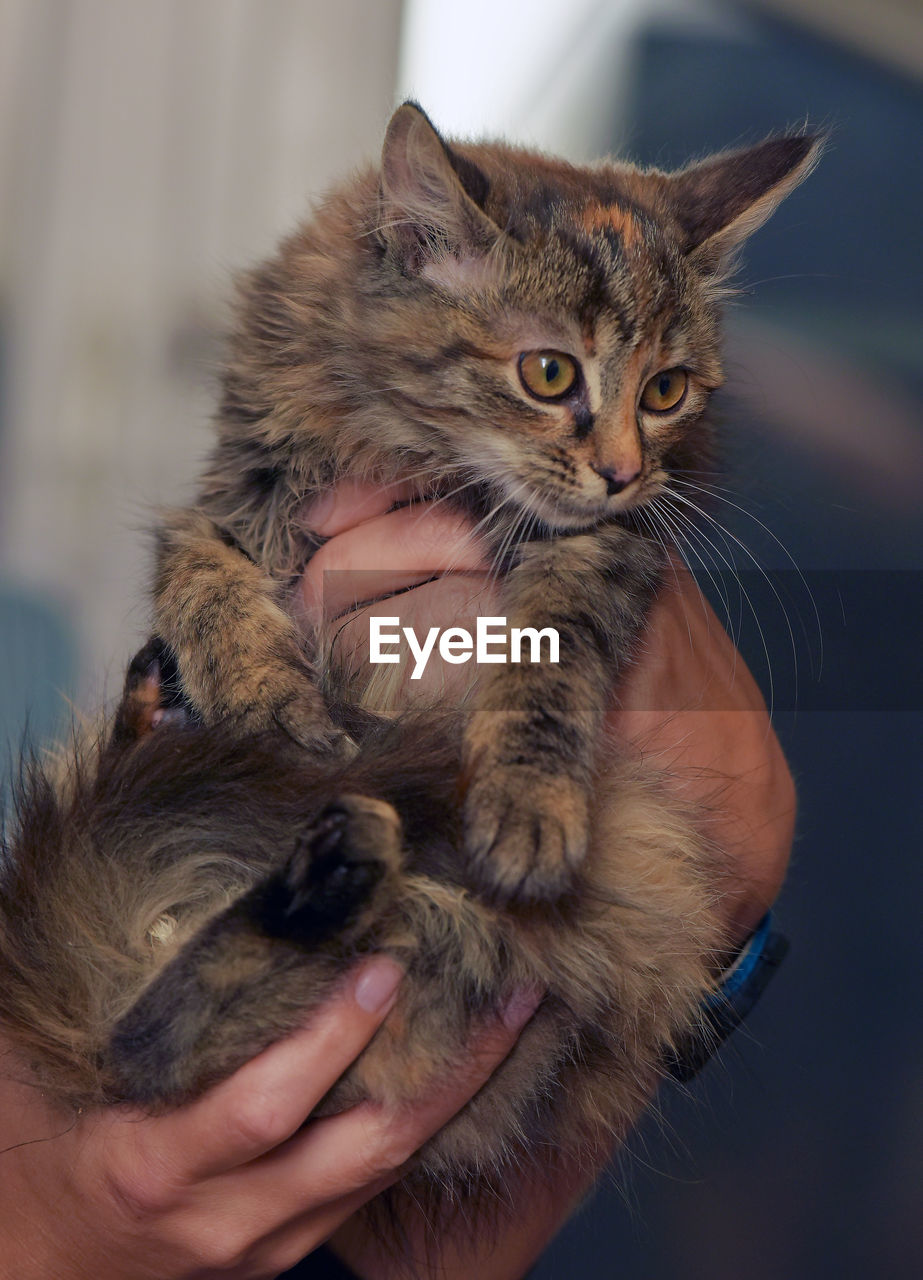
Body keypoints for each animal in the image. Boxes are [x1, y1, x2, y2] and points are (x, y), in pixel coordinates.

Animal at [0, 97, 819, 1208]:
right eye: (548, 372)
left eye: (665, 390)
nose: (621, 470)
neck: (408, 445)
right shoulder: (237, 490)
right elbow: (199, 577)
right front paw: (263, 699)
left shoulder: (605, 547)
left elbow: (545, 665)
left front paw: (530, 806)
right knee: (137, 1053)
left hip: (454, 966)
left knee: (147, 1045)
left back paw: (319, 866)